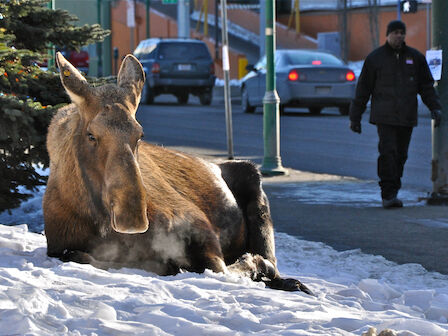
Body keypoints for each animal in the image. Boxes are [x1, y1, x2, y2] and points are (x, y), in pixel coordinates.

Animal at [43, 50, 312, 294]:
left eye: (140, 134)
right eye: (91, 135)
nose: (132, 216)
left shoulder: (199, 227)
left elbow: (220, 267)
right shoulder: (59, 247)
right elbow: (80, 255)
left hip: (254, 184)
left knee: (272, 263)